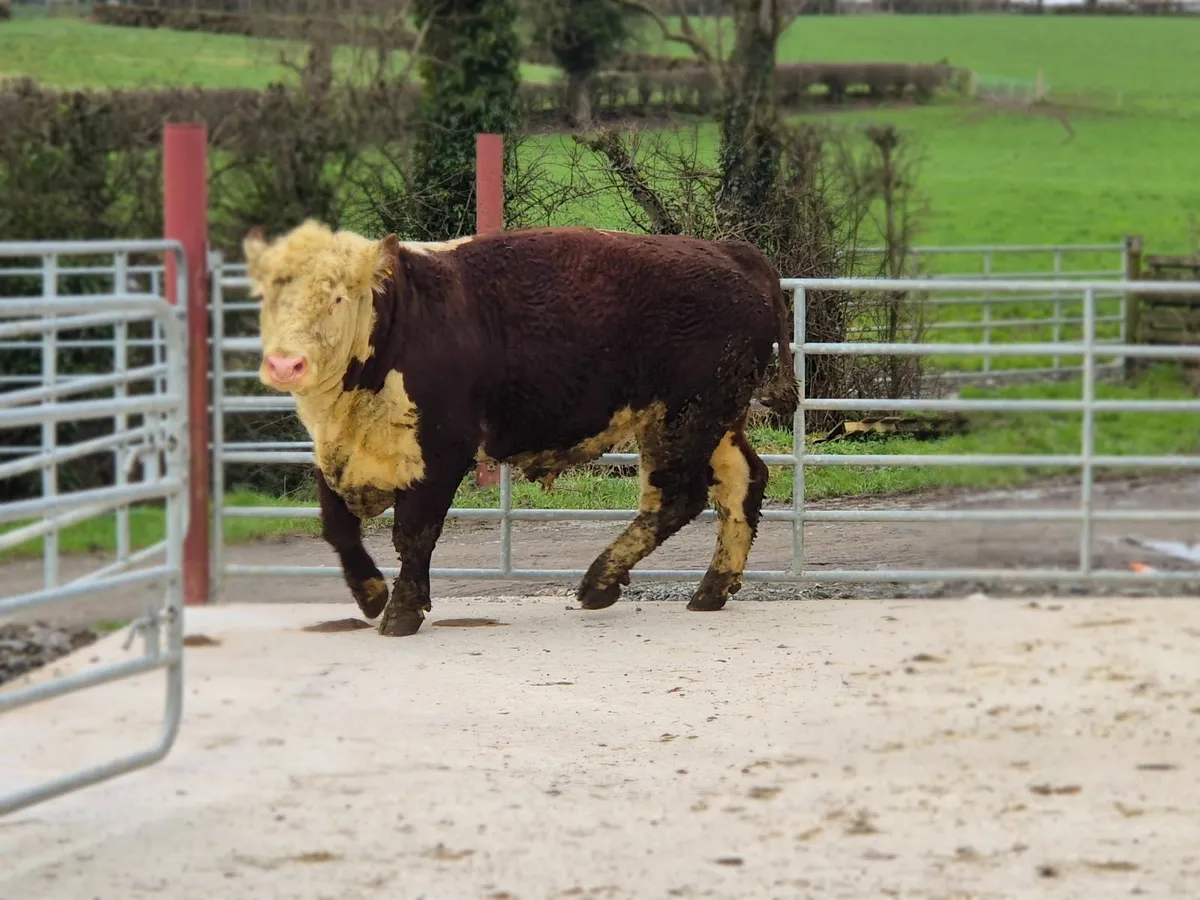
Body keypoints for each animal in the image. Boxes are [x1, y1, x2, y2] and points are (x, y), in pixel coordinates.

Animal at [243, 220, 799, 636]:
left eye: (337, 297)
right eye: (267, 296)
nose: (286, 364)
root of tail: (730, 252)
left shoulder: (443, 451)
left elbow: (414, 533)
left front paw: (401, 611)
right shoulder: (333, 452)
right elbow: (337, 526)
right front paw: (370, 593)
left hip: (682, 419)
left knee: (676, 498)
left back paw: (599, 583)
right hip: (713, 421)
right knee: (742, 481)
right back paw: (710, 589)